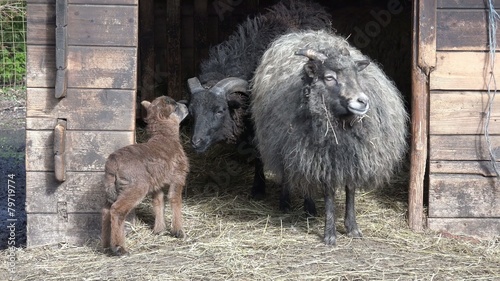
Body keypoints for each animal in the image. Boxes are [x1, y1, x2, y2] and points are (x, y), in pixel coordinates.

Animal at [101, 95, 189, 255]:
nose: (186, 105)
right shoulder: (178, 176)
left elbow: (158, 202)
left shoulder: (157, 183)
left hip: (112, 189)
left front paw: (160, 230)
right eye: (175, 107)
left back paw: (105, 246)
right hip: (135, 187)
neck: (165, 137)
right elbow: (175, 200)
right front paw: (178, 231)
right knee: (116, 210)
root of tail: (112, 163)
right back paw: (119, 248)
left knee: (105, 210)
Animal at [252, 30, 408, 244]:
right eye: (329, 77)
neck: (341, 125)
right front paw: (330, 234)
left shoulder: (353, 157)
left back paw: (309, 210)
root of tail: (301, 33)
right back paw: (289, 204)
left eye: (356, 74)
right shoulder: (322, 159)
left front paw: (352, 227)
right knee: (288, 174)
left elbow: (351, 190)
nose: (362, 101)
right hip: (284, 146)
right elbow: (329, 194)